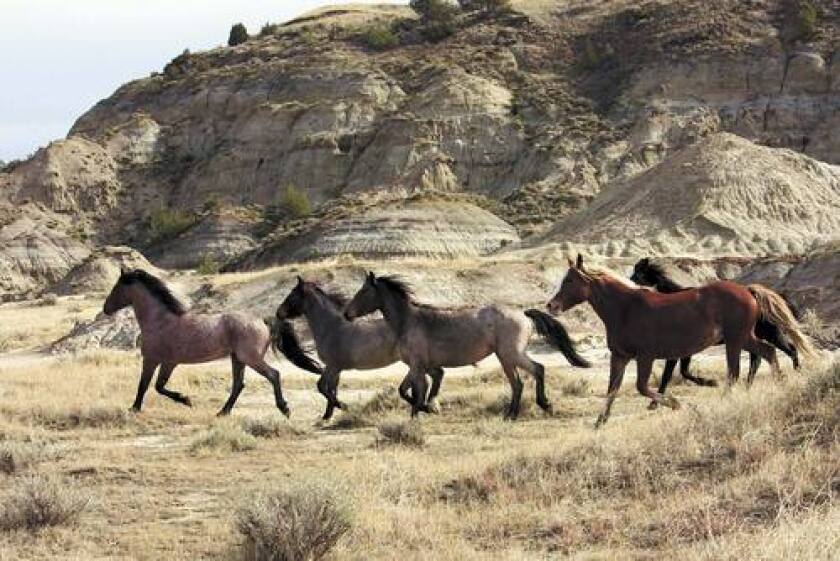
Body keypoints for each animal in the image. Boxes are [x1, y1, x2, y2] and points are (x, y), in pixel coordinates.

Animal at [103, 269, 321, 417]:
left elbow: (148, 385)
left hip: (249, 358)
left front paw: (137, 408)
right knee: (238, 384)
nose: (105, 308)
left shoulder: (155, 360)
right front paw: (185, 400)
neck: (160, 321)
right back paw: (223, 412)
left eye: (117, 287)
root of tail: (263, 320)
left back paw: (284, 408)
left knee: (273, 375)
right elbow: (156, 386)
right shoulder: (168, 362)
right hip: (238, 359)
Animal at [274, 276, 446, 421]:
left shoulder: (332, 366)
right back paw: (427, 407)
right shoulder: (336, 370)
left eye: (292, 294)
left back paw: (426, 407)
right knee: (431, 378)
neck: (331, 327)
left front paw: (345, 407)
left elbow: (322, 387)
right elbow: (331, 389)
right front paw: (327, 416)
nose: (278, 312)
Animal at [344, 272, 591, 420]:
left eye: (364, 291)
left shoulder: (417, 366)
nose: (347, 314)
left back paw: (543, 405)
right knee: (518, 384)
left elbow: (415, 393)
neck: (408, 321)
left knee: (537, 370)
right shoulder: (419, 367)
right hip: (505, 357)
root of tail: (522, 313)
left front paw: (423, 411)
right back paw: (510, 414)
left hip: (510, 354)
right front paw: (429, 407)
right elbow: (407, 390)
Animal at [548, 254, 780, 428]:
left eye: (570, 281)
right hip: (743, 338)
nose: (551, 305)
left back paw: (725, 399)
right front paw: (599, 422)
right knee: (768, 352)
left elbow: (642, 387)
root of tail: (747, 290)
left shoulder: (645, 357)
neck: (624, 309)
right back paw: (781, 383)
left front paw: (675, 403)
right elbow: (612, 389)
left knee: (735, 372)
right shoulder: (620, 357)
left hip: (734, 340)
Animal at [630, 258, 815, 402]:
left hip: (763, 335)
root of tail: (752, 293)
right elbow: (680, 372)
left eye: (638, 271)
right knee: (762, 357)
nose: (630, 279)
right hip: (752, 337)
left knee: (785, 351)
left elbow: (671, 374)